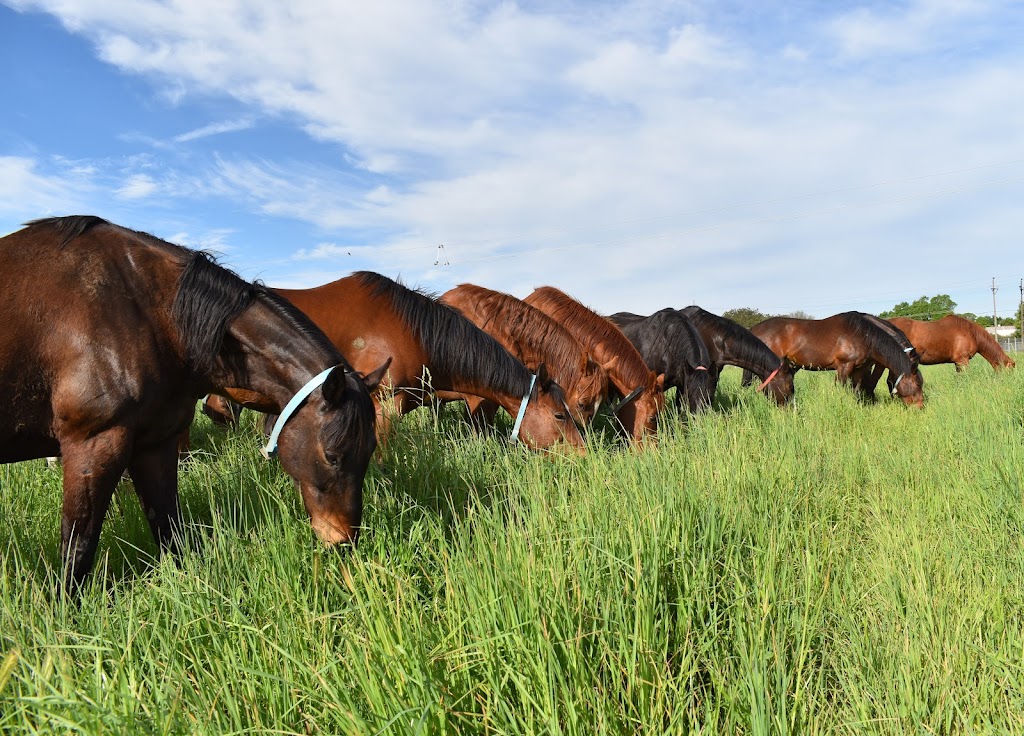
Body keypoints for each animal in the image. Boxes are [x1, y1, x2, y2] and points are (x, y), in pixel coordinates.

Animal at [0, 217, 385, 593]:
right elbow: (78, 548)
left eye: (370, 450)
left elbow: (169, 530)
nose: (343, 541)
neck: (146, 311)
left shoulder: (155, 444)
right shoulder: (92, 446)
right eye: (332, 455)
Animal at [745, 307, 929, 405]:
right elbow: (842, 388)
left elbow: (857, 390)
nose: (920, 407)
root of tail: (754, 329)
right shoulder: (844, 366)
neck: (864, 334)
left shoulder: (859, 369)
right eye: (917, 383)